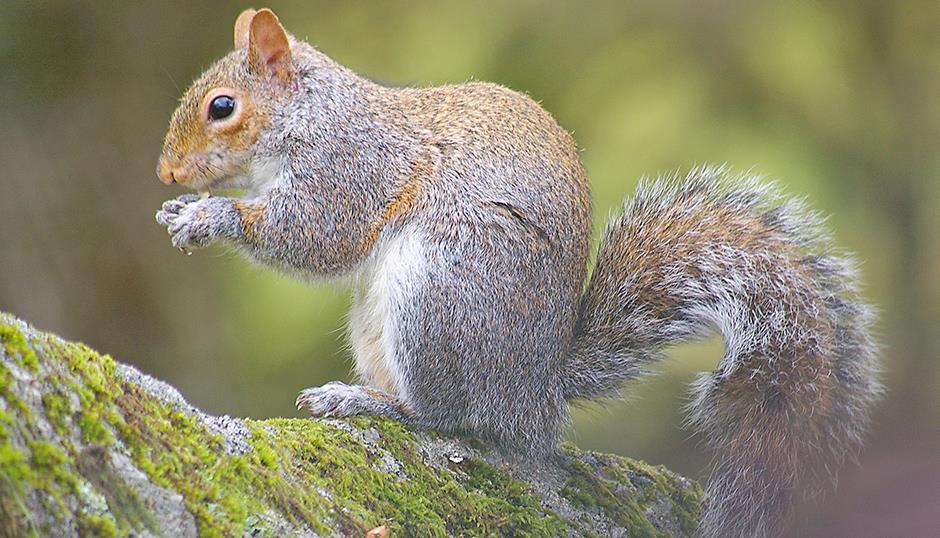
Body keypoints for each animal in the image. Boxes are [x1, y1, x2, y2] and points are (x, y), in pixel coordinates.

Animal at [154, 9, 880, 536]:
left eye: (222, 107)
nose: (166, 173)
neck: (309, 112)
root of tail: (539, 390)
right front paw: (179, 210)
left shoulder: (349, 167)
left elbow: (314, 238)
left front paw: (211, 215)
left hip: (443, 288)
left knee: (446, 416)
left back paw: (368, 403)